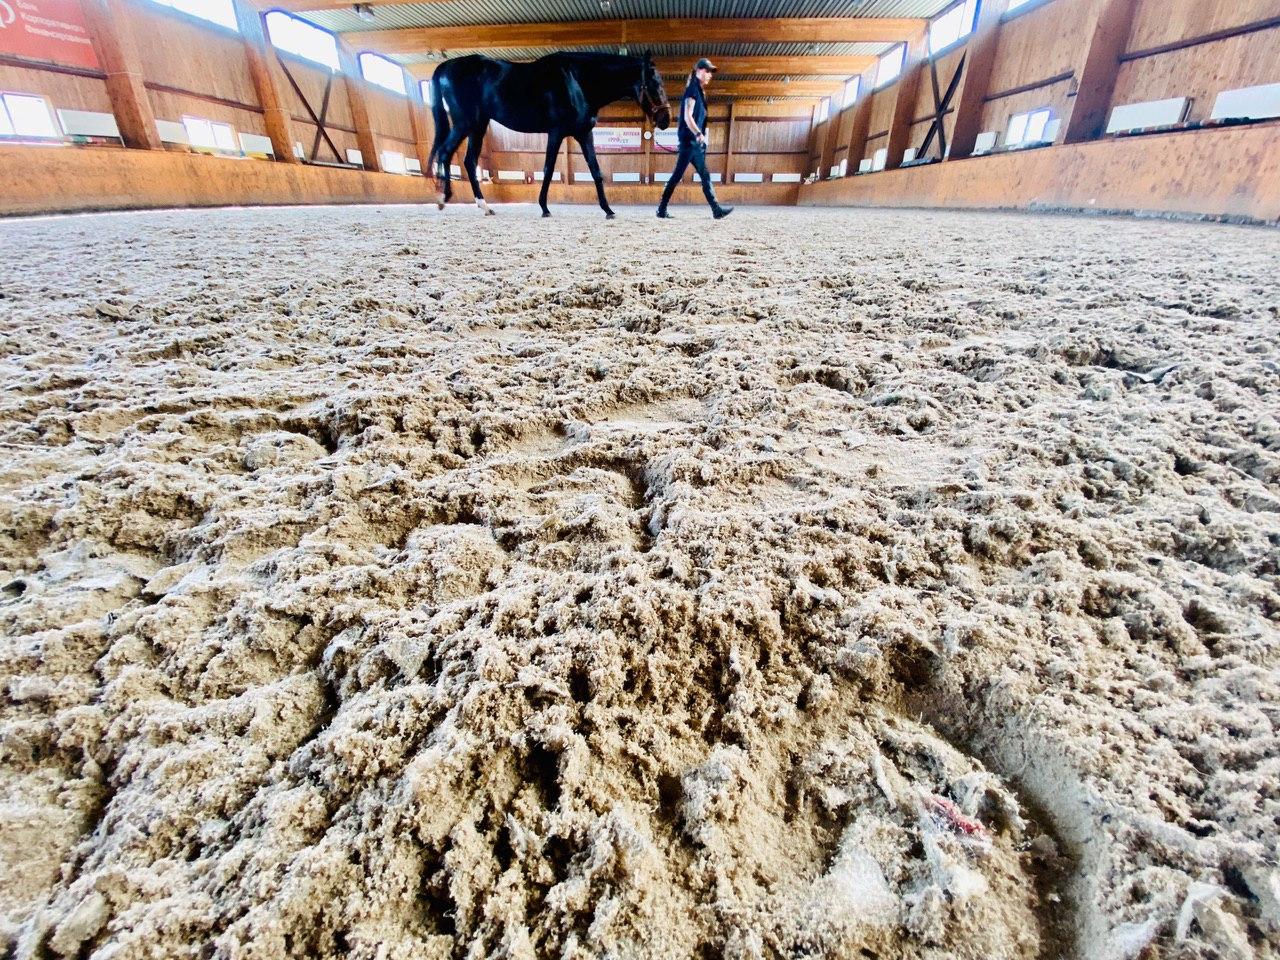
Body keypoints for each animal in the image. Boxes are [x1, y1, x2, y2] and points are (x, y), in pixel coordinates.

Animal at [427, 53, 670, 220]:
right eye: (655, 84)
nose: (665, 120)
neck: (577, 81)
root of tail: (446, 66)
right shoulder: (557, 132)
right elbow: (548, 169)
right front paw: (544, 208)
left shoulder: (583, 133)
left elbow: (596, 171)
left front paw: (608, 210)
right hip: (466, 123)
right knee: (446, 153)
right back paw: (442, 199)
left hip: (477, 126)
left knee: (467, 160)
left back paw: (480, 205)